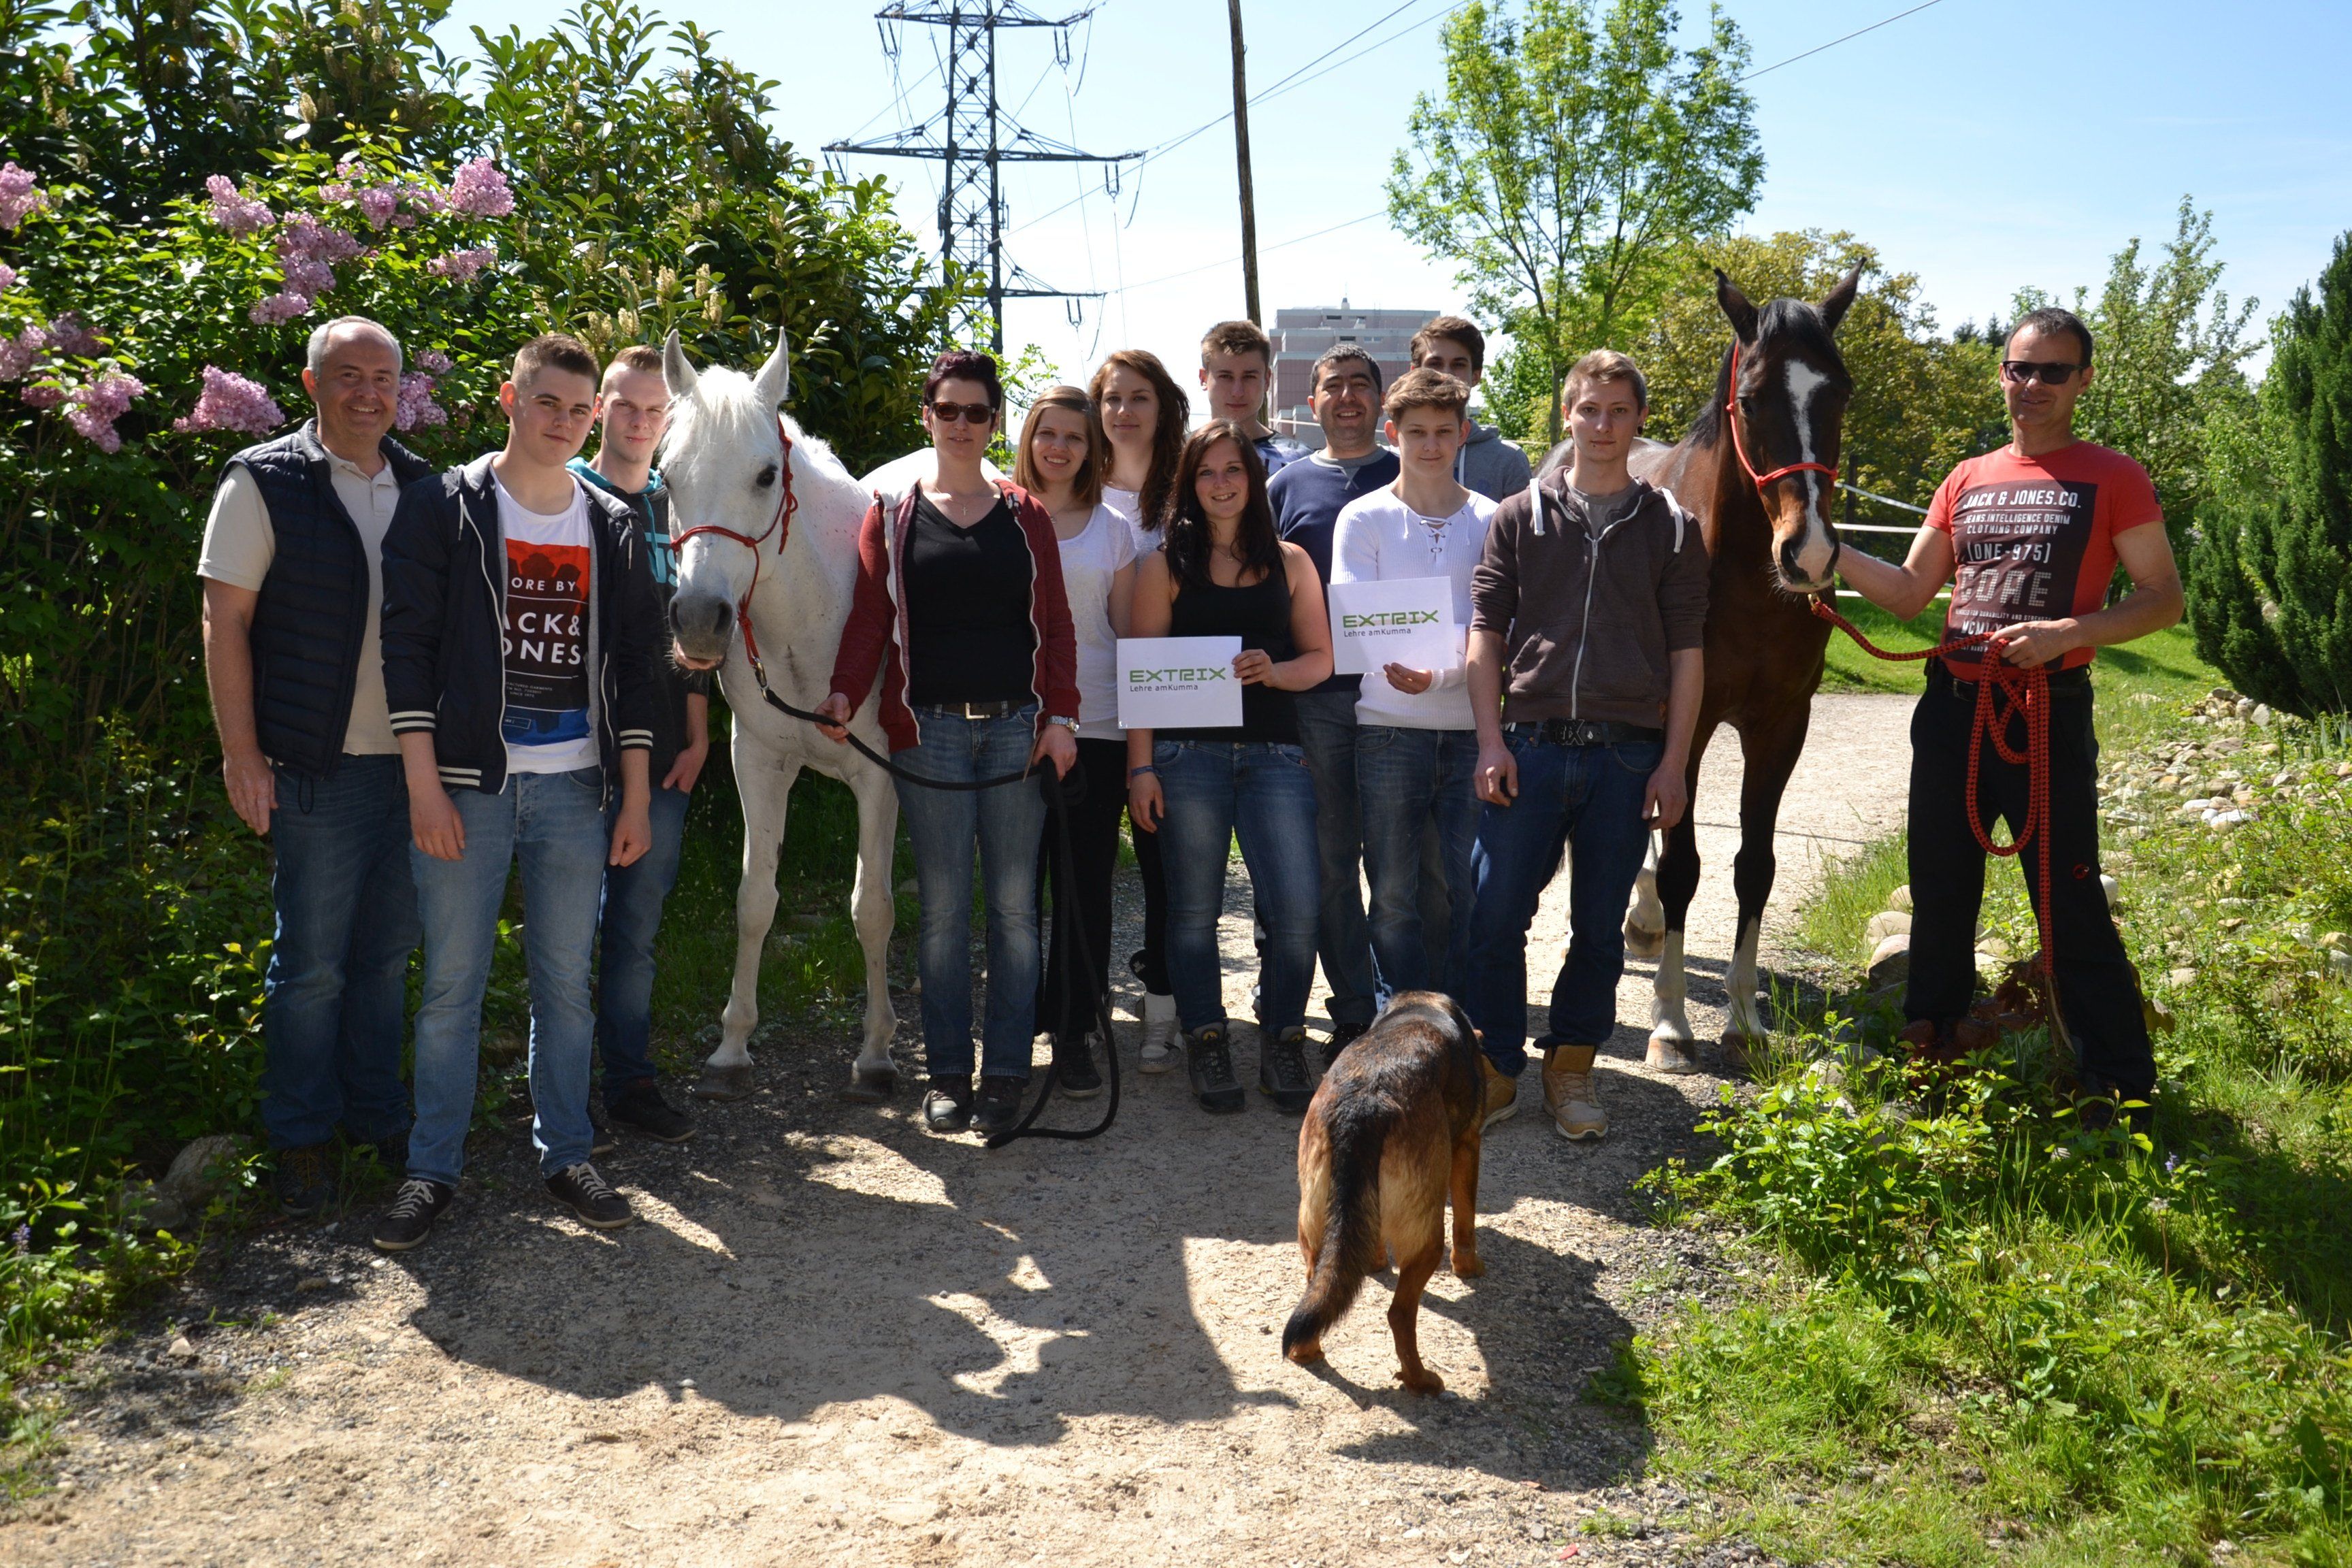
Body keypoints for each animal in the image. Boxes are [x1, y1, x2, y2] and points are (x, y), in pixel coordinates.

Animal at [661, 328, 903, 1102]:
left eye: (767, 475)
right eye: (667, 477)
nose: (699, 620)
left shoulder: (879, 779)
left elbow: (872, 908)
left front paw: (876, 1052)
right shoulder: (758, 763)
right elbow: (755, 901)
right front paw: (733, 1045)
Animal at [1282, 991, 1492, 1393]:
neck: (1420, 1005)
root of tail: (1362, 1107)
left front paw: (1376, 1263)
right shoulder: (1467, 1147)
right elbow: (1466, 1221)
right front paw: (1469, 1268)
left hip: (1312, 1226)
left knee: (1315, 1290)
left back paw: (1307, 1352)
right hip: (1427, 1241)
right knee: (1399, 1314)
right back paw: (1420, 1381)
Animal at [1608, 267, 1863, 1066]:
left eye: (1840, 393)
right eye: (1750, 400)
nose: (1809, 554)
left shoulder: (1781, 725)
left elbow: (1756, 865)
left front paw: (1746, 1018)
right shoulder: (1685, 726)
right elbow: (1685, 865)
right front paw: (1669, 1022)